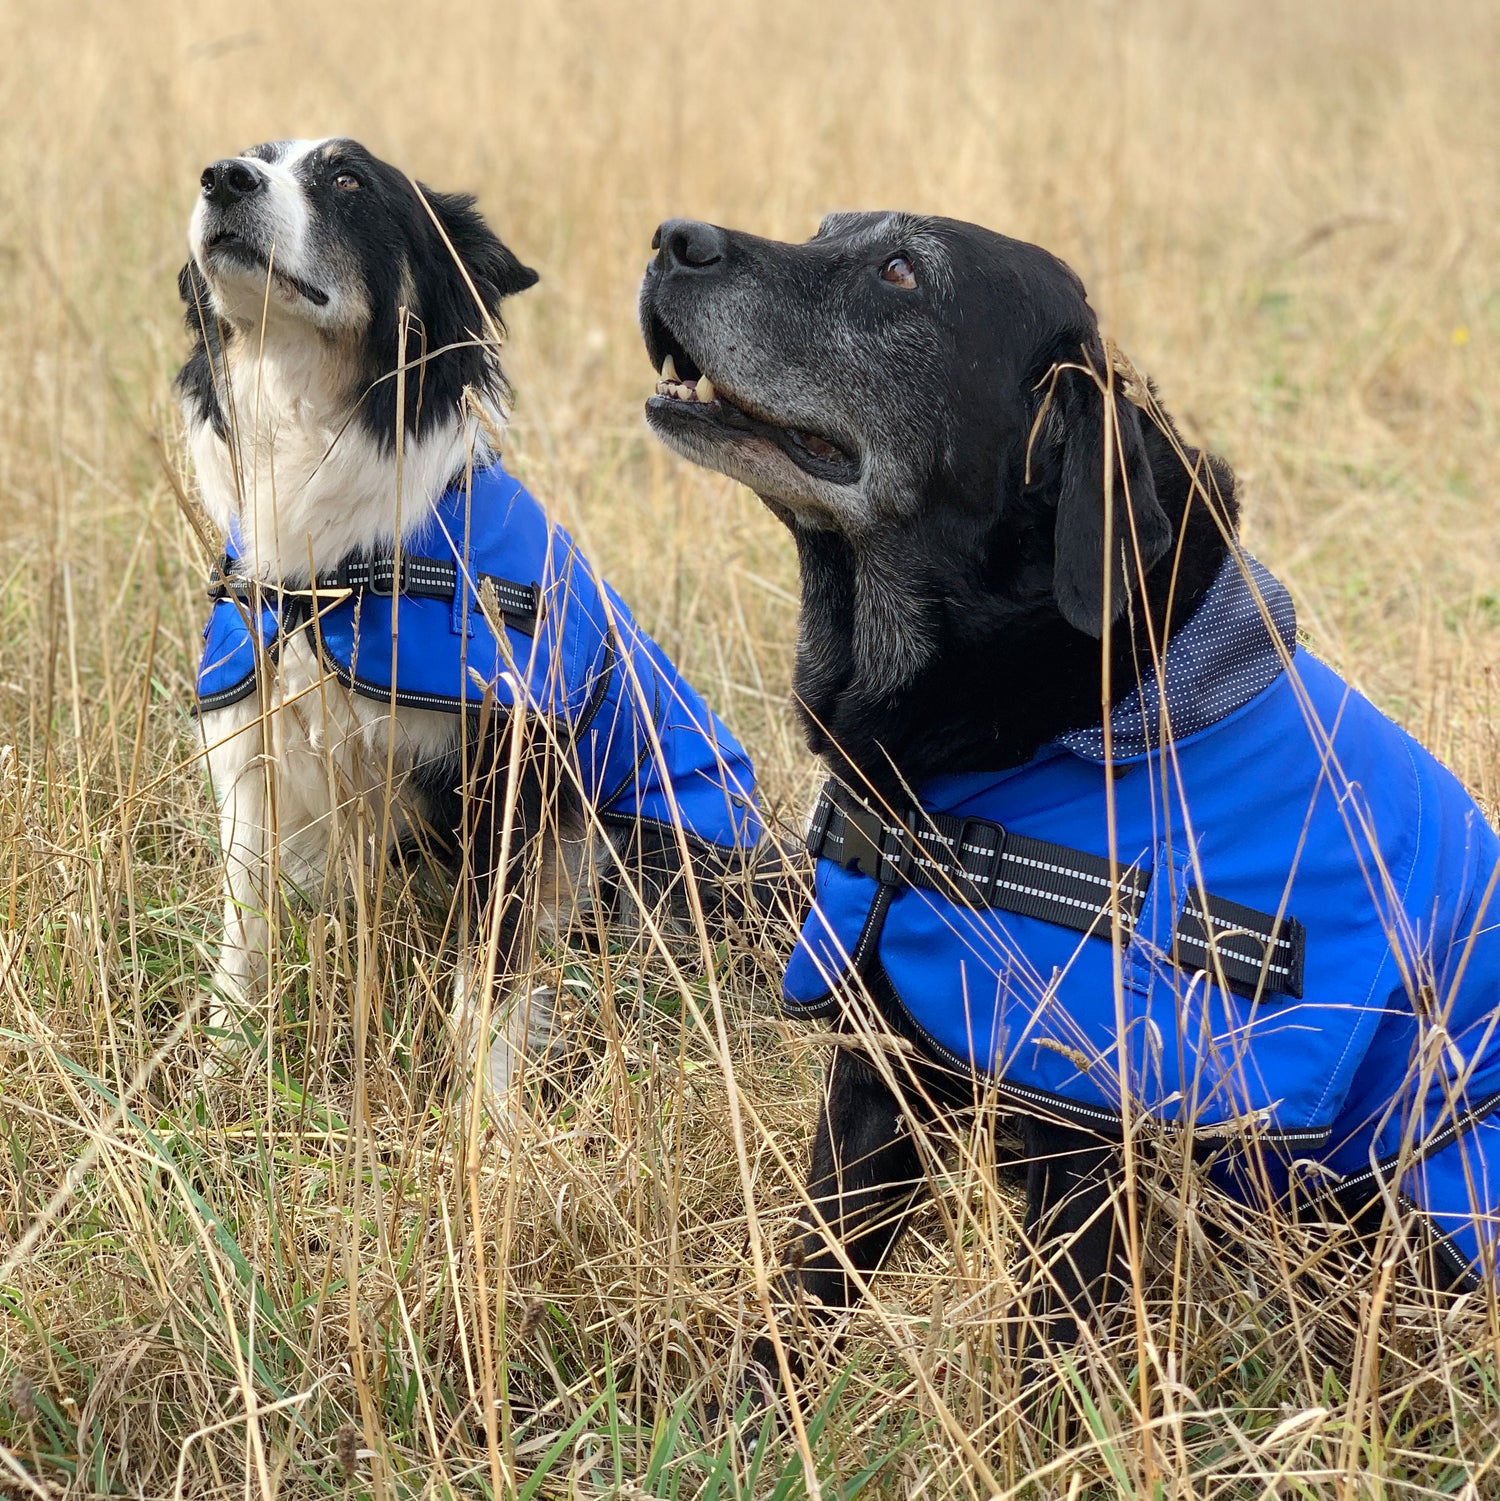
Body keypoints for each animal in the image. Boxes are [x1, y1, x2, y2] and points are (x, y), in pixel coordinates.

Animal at [180, 141, 768, 1098]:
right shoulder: (255, 760)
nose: (223, 177)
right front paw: (221, 1068)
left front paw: (483, 1112)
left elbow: (489, 976)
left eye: (348, 181)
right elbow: (244, 940)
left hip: (647, 848)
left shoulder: (512, 777)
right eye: (255, 158)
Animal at [639, 208, 1500, 1374]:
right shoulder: (876, 1077)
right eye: (825, 230)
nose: (671, 238)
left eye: (900, 272)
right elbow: (810, 1277)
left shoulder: (1089, 1159)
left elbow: (1044, 1363)